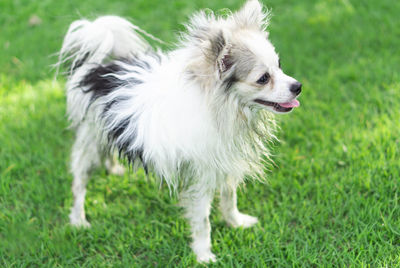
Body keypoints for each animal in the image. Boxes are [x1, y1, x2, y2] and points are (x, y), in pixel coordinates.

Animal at [58, 0, 300, 262]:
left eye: (280, 66)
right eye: (263, 78)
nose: (298, 86)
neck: (227, 109)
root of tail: (99, 70)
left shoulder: (225, 162)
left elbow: (229, 198)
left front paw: (235, 223)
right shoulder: (202, 175)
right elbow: (203, 221)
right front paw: (204, 255)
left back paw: (113, 169)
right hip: (89, 141)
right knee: (79, 182)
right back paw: (78, 219)